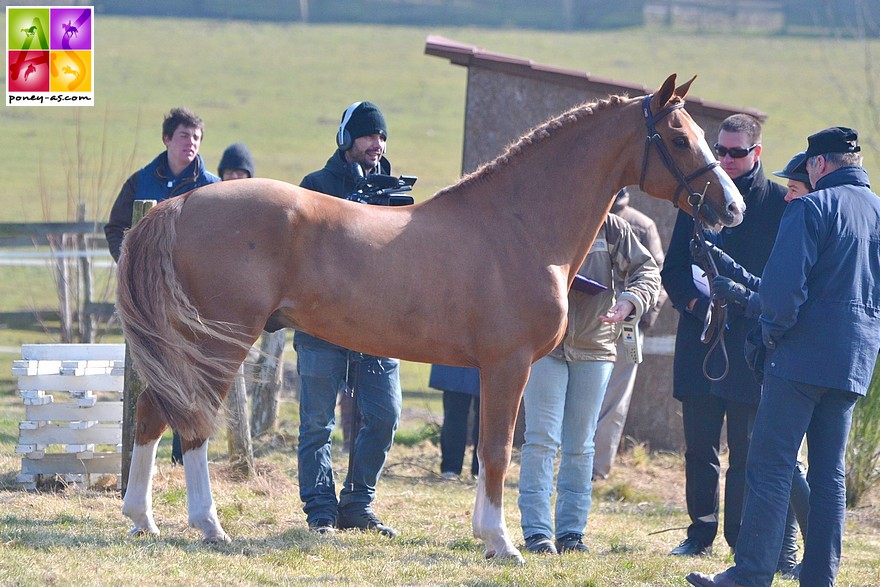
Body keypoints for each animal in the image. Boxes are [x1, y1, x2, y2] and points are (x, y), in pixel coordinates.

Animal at [115, 73, 744, 560]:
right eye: (680, 139)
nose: (732, 208)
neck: (518, 225)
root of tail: (182, 202)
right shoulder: (507, 364)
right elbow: (496, 450)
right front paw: (502, 543)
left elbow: (493, 450)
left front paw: (489, 535)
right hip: (219, 340)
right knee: (191, 422)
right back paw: (208, 526)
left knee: (152, 413)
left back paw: (143, 519)